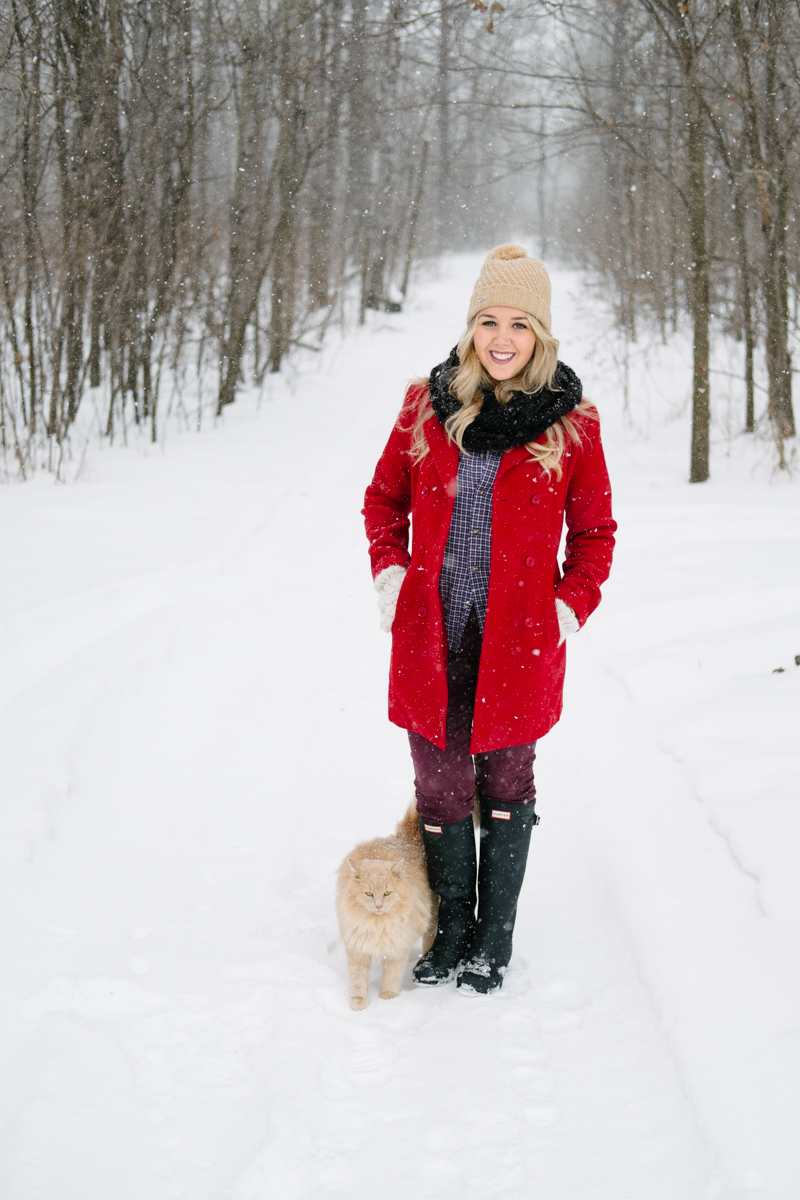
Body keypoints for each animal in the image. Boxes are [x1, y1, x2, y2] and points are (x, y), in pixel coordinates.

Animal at [338, 801, 438, 1008]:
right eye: (369, 894)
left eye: (387, 893)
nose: (378, 906)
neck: (377, 924)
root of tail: (407, 837)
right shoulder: (356, 948)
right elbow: (357, 980)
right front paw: (359, 1002)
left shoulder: (396, 948)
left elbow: (392, 977)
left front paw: (388, 998)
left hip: (432, 922)